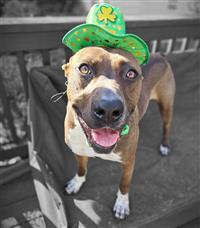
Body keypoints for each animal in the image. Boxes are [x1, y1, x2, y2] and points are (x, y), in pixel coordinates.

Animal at [62, 46, 175, 219]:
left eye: (130, 73)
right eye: (84, 68)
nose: (109, 109)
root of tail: (160, 55)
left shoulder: (129, 161)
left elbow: (124, 184)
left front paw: (122, 204)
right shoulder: (78, 151)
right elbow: (81, 169)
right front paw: (76, 182)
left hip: (166, 106)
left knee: (166, 126)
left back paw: (164, 145)